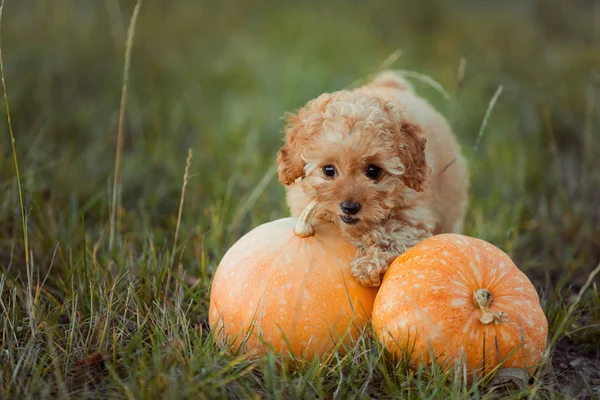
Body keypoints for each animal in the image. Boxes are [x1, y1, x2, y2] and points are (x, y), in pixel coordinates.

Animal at [276, 70, 468, 286]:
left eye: (373, 171)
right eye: (328, 170)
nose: (349, 207)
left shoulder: (414, 219)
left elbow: (392, 233)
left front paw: (367, 265)